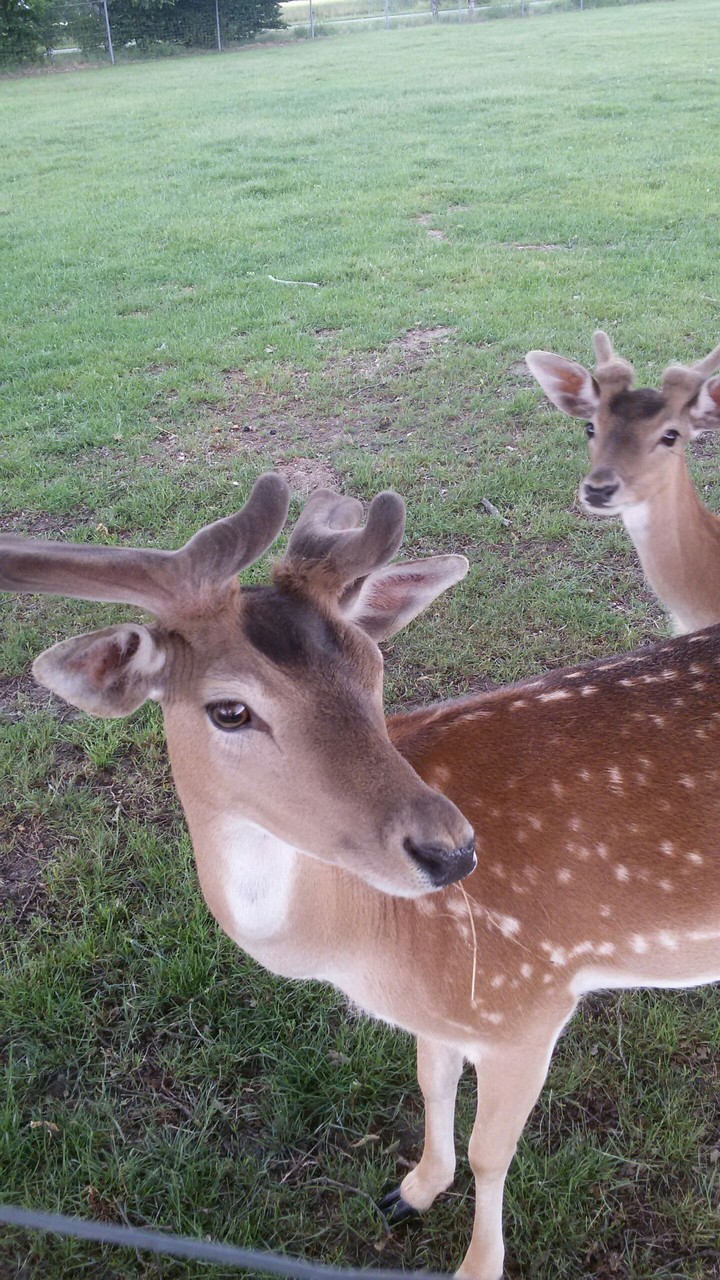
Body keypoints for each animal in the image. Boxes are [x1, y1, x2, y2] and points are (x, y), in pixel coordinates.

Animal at [5, 473, 720, 1280]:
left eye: (375, 670)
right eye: (229, 710)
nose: (452, 853)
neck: (369, 948)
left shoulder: (529, 1005)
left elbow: (491, 1152)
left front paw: (476, 1265)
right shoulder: (449, 1015)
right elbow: (432, 1083)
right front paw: (412, 1190)